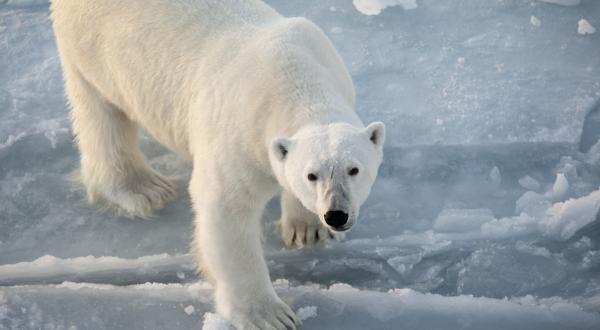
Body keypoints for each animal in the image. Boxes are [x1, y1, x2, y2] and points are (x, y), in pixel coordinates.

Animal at [50, 0, 384, 328]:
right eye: (311, 175)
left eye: (354, 169)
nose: (336, 215)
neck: (296, 81)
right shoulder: (241, 131)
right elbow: (226, 210)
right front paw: (269, 315)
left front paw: (307, 230)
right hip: (93, 48)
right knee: (102, 113)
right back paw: (143, 189)